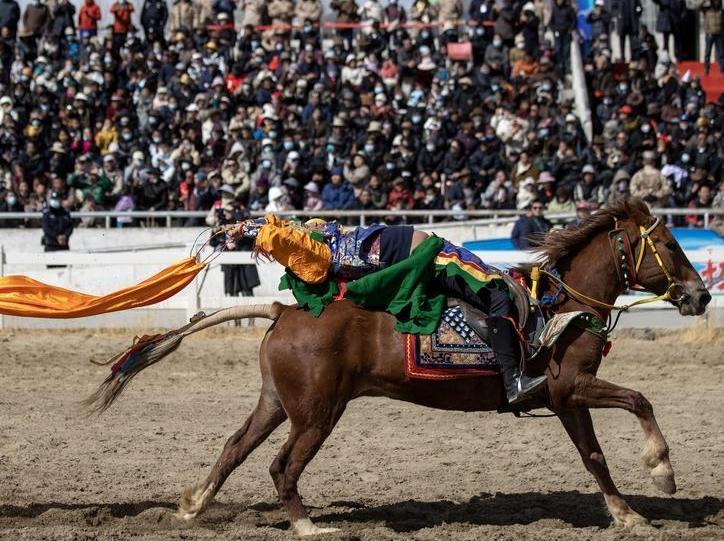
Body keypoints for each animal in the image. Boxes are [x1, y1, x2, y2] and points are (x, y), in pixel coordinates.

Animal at [87, 199, 708, 536]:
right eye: (671, 246)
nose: (700, 296)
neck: (560, 307)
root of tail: (285, 308)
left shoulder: (565, 400)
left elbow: (595, 457)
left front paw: (627, 514)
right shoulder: (571, 387)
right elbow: (640, 401)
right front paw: (661, 470)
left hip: (277, 403)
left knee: (235, 449)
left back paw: (193, 506)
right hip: (317, 413)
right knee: (282, 467)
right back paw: (309, 526)